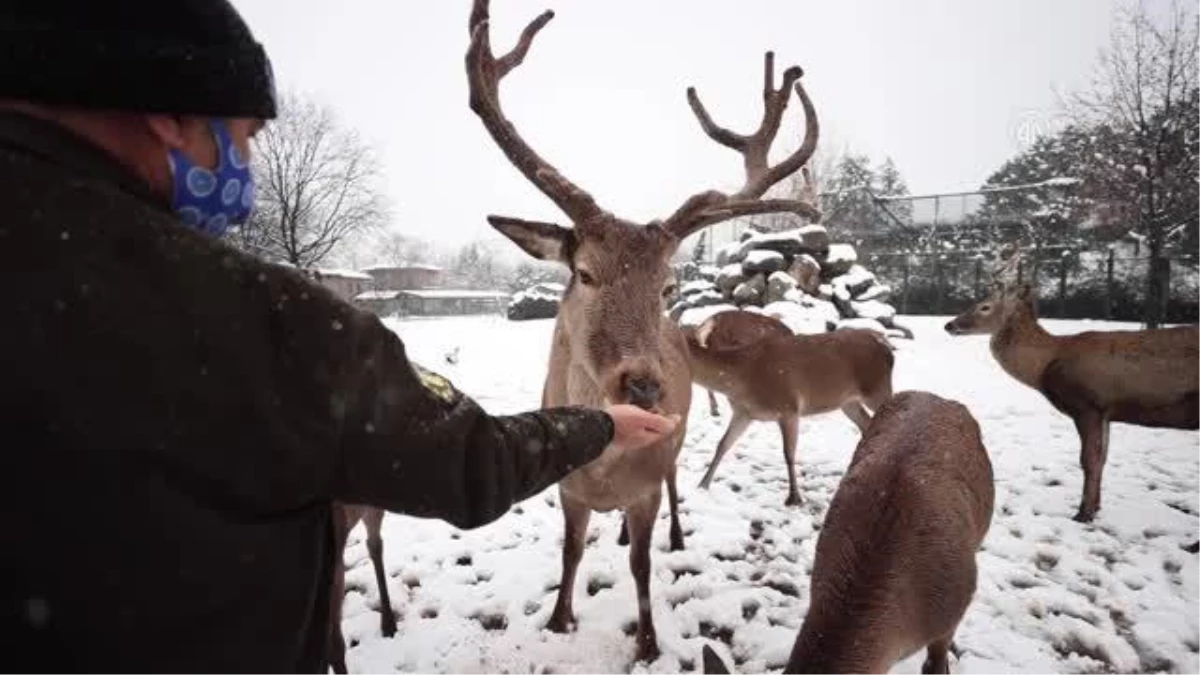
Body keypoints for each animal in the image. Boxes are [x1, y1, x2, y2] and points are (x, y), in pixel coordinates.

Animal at [463, 0, 820, 658]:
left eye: (668, 287)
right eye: (583, 272)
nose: (645, 385)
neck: (606, 474)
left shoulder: (648, 484)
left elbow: (644, 568)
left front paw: (650, 643)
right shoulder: (567, 490)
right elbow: (571, 553)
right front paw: (559, 620)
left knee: (677, 488)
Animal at [681, 309, 897, 504]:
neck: (742, 376)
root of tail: (887, 349)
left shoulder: (788, 407)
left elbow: (788, 453)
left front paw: (794, 498)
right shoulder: (743, 412)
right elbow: (723, 444)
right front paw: (702, 485)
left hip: (877, 388)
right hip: (848, 402)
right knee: (867, 424)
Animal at [945, 252, 1200, 521]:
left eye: (984, 306)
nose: (949, 325)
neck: (1047, 362)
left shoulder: (1088, 404)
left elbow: (1089, 460)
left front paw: (1083, 513)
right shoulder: (1106, 411)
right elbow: (1103, 458)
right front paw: (1096, 507)